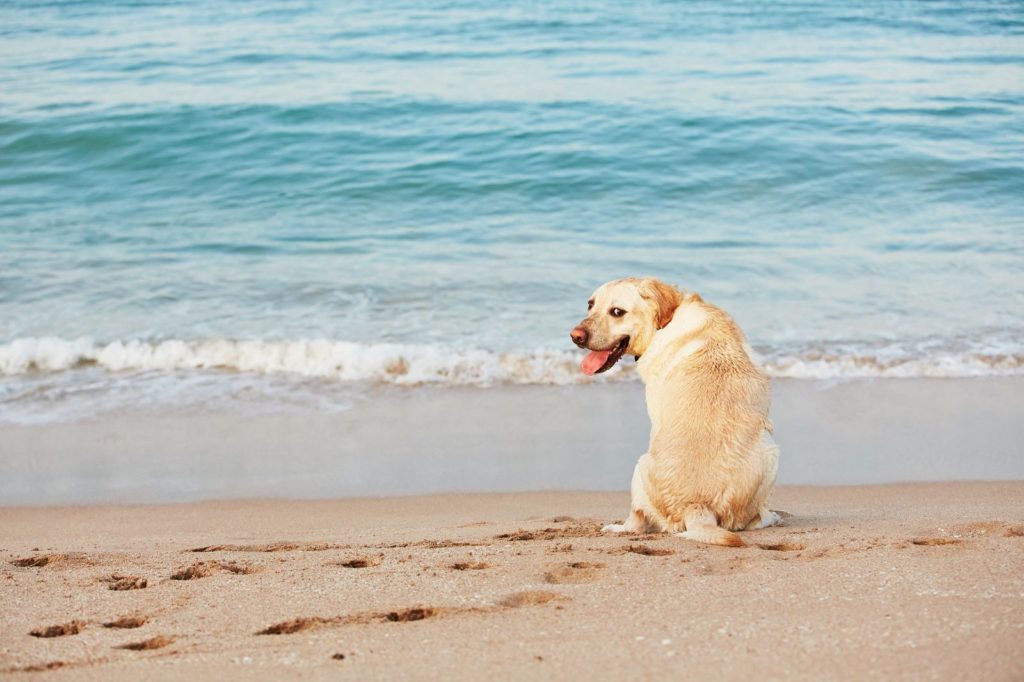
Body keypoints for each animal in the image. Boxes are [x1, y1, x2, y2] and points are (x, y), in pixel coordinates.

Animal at [569, 276, 782, 548]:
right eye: (590, 305)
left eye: (617, 312)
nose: (575, 336)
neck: (666, 321)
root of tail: (696, 506)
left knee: (636, 521)